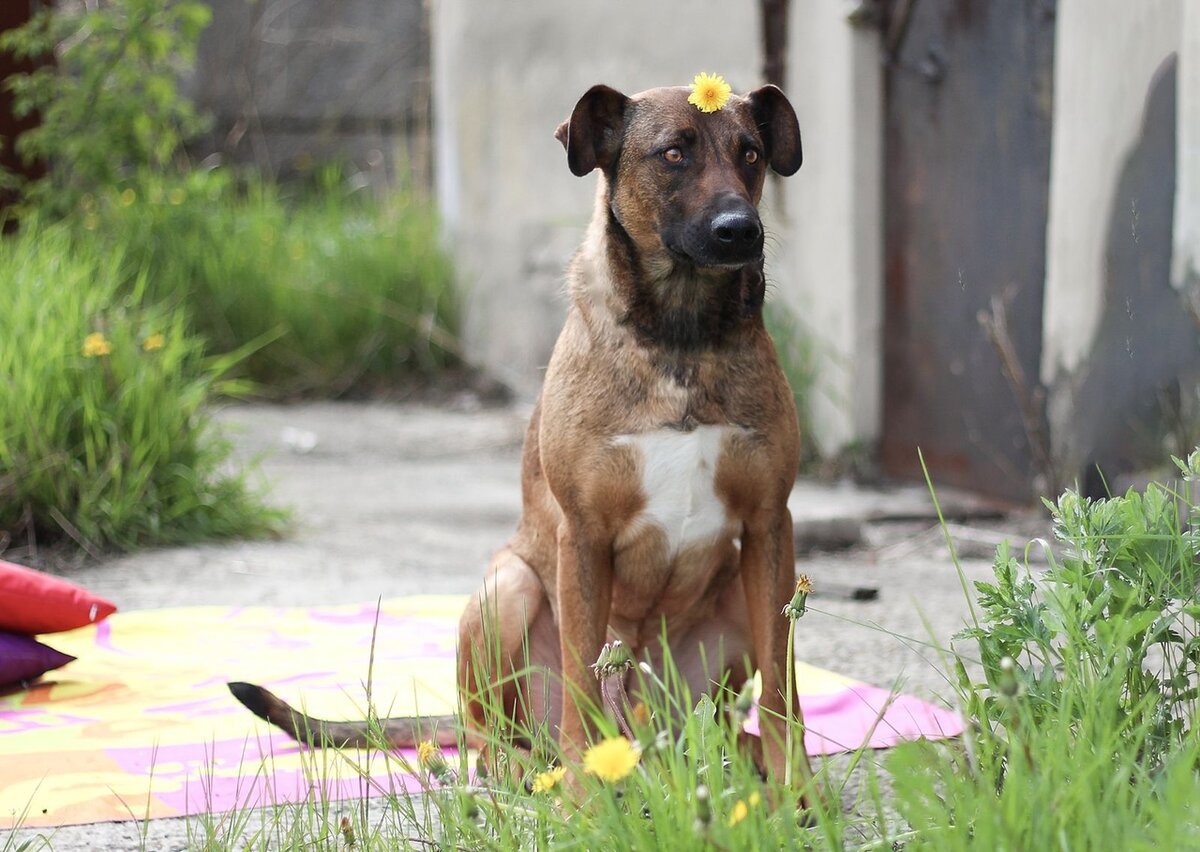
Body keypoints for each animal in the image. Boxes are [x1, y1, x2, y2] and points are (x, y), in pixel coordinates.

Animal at [229, 78, 820, 801]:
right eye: (673, 153)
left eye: (751, 153)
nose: (742, 230)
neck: (680, 333)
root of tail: (657, 739)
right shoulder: (584, 535)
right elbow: (582, 679)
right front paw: (585, 797)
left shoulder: (768, 526)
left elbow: (783, 682)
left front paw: (797, 788)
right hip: (505, 591)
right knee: (488, 738)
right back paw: (531, 770)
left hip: (728, 605)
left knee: (717, 725)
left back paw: (739, 755)